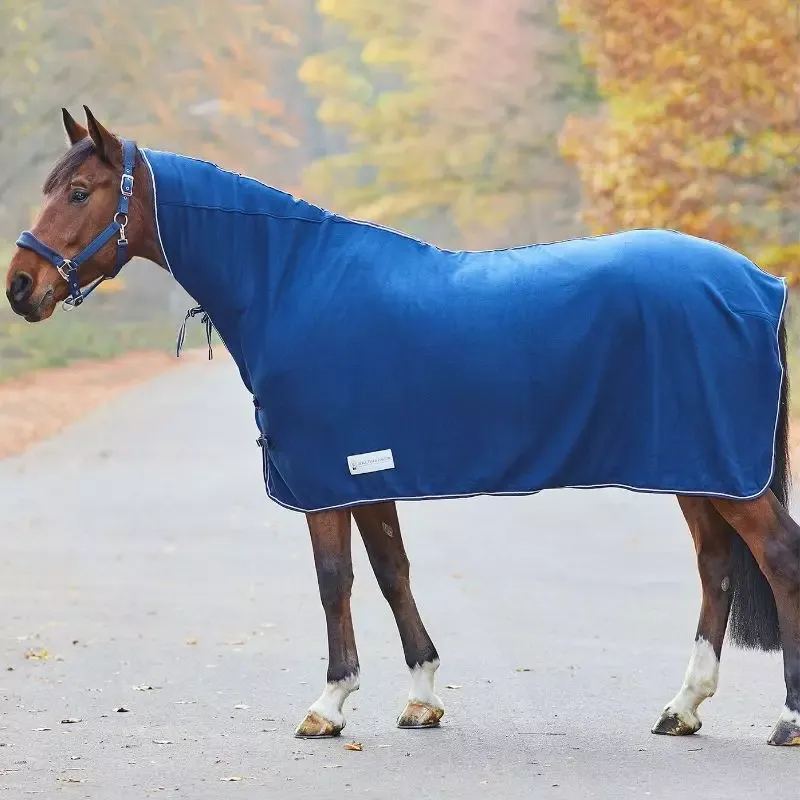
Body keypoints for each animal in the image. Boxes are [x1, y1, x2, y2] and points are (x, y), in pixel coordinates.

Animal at [5, 107, 800, 746]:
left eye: (79, 193)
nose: (19, 287)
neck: (295, 284)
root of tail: (760, 284)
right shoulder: (368, 470)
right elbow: (392, 572)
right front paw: (421, 699)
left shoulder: (326, 475)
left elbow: (335, 580)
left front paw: (329, 704)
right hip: (698, 470)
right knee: (716, 569)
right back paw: (682, 708)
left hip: (723, 472)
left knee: (778, 557)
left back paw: (787, 719)